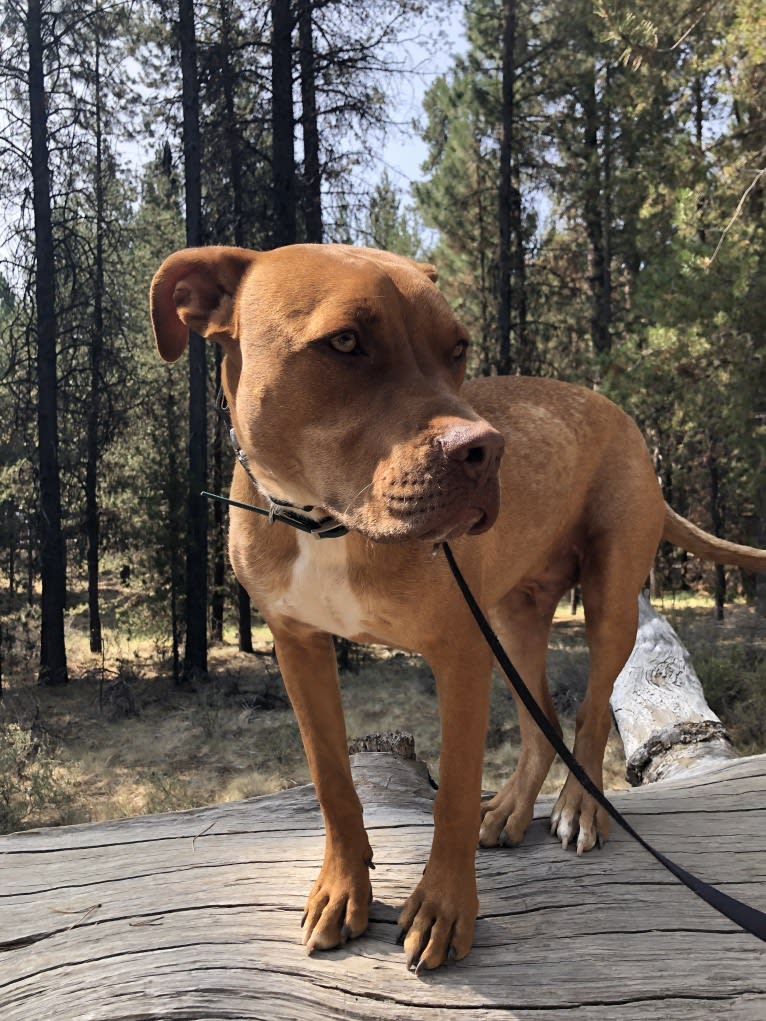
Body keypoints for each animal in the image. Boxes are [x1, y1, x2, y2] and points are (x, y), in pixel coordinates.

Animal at [150, 245, 766, 971]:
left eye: (458, 348)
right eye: (345, 342)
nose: (487, 450)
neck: (327, 526)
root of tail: (624, 420)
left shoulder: (461, 655)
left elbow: (451, 798)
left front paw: (444, 908)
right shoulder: (298, 645)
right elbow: (332, 782)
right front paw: (342, 888)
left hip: (609, 601)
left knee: (587, 714)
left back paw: (580, 808)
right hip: (513, 619)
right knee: (539, 718)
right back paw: (510, 808)